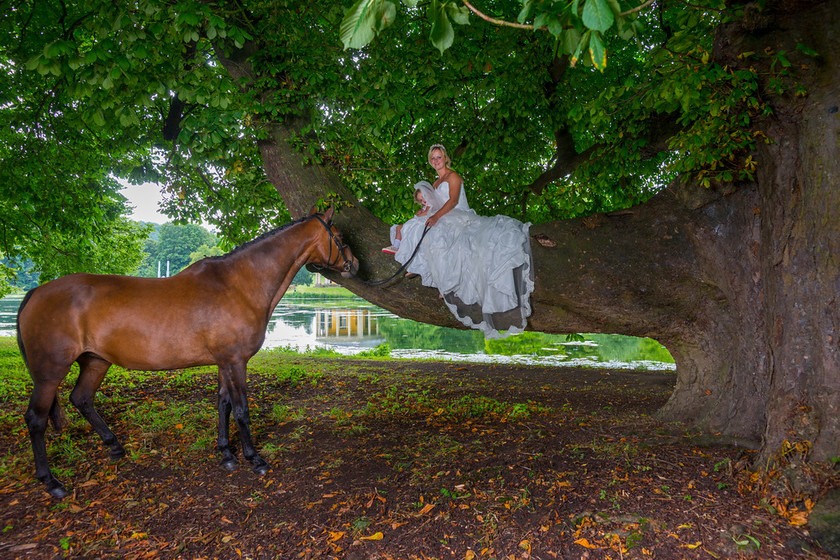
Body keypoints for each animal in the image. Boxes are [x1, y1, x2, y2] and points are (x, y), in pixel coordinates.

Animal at [16, 208, 358, 496]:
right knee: (36, 418)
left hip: (96, 362)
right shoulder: (236, 362)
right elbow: (242, 409)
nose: (354, 265)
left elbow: (223, 405)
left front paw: (226, 454)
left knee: (82, 398)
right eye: (340, 237)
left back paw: (114, 447)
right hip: (50, 372)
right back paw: (51, 482)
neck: (238, 285)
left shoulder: (224, 362)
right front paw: (253, 458)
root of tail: (35, 292)